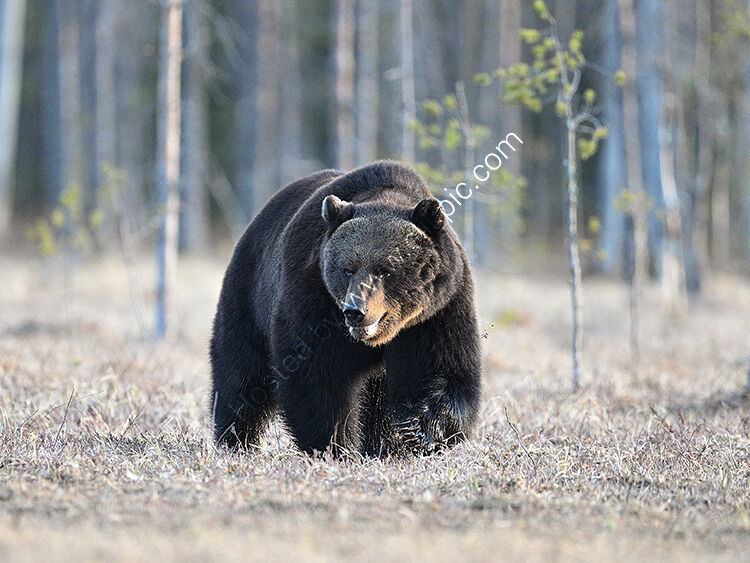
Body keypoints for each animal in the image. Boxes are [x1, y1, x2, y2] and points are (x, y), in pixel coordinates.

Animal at [209, 160, 481, 456]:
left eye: (385, 270)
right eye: (347, 268)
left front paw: (417, 429)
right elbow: (317, 378)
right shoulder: (314, 298)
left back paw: (381, 446)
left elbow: (441, 370)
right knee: (241, 375)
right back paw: (235, 439)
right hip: (249, 294)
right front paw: (336, 445)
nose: (355, 311)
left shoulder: (437, 311)